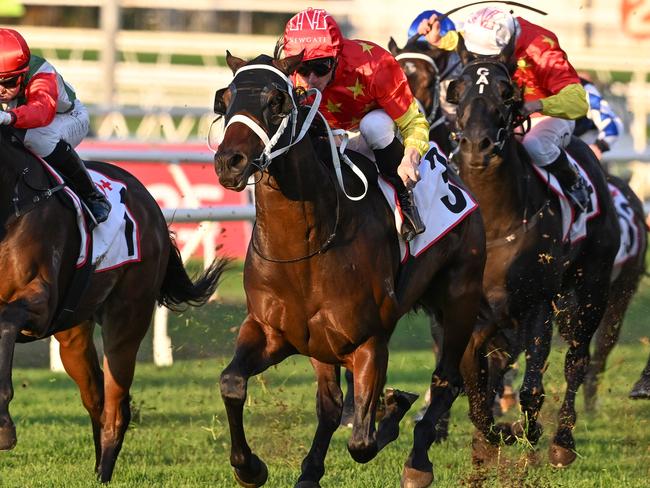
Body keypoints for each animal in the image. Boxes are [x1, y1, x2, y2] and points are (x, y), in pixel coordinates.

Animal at [0, 124, 227, 482]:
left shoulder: (39, 305)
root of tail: (149, 202)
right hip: (73, 332)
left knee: (116, 403)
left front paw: (4, 427)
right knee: (96, 397)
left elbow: (7, 321)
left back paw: (104, 471)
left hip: (127, 317)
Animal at [213, 52, 486, 488]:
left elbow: (362, 442)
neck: (308, 248)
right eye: (223, 100)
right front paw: (250, 466)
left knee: (446, 379)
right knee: (330, 404)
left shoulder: (369, 341)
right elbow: (233, 382)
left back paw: (417, 461)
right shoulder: (272, 331)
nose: (229, 162)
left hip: (460, 296)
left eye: (278, 101)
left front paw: (391, 411)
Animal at [446, 37, 616, 466]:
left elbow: (533, 387)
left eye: (507, 93)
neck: (495, 222)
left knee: (577, 360)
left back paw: (563, 441)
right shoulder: (477, 310)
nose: (477, 146)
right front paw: (488, 438)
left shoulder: (538, 300)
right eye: (457, 89)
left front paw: (525, 430)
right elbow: (474, 381)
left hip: (591, 288)